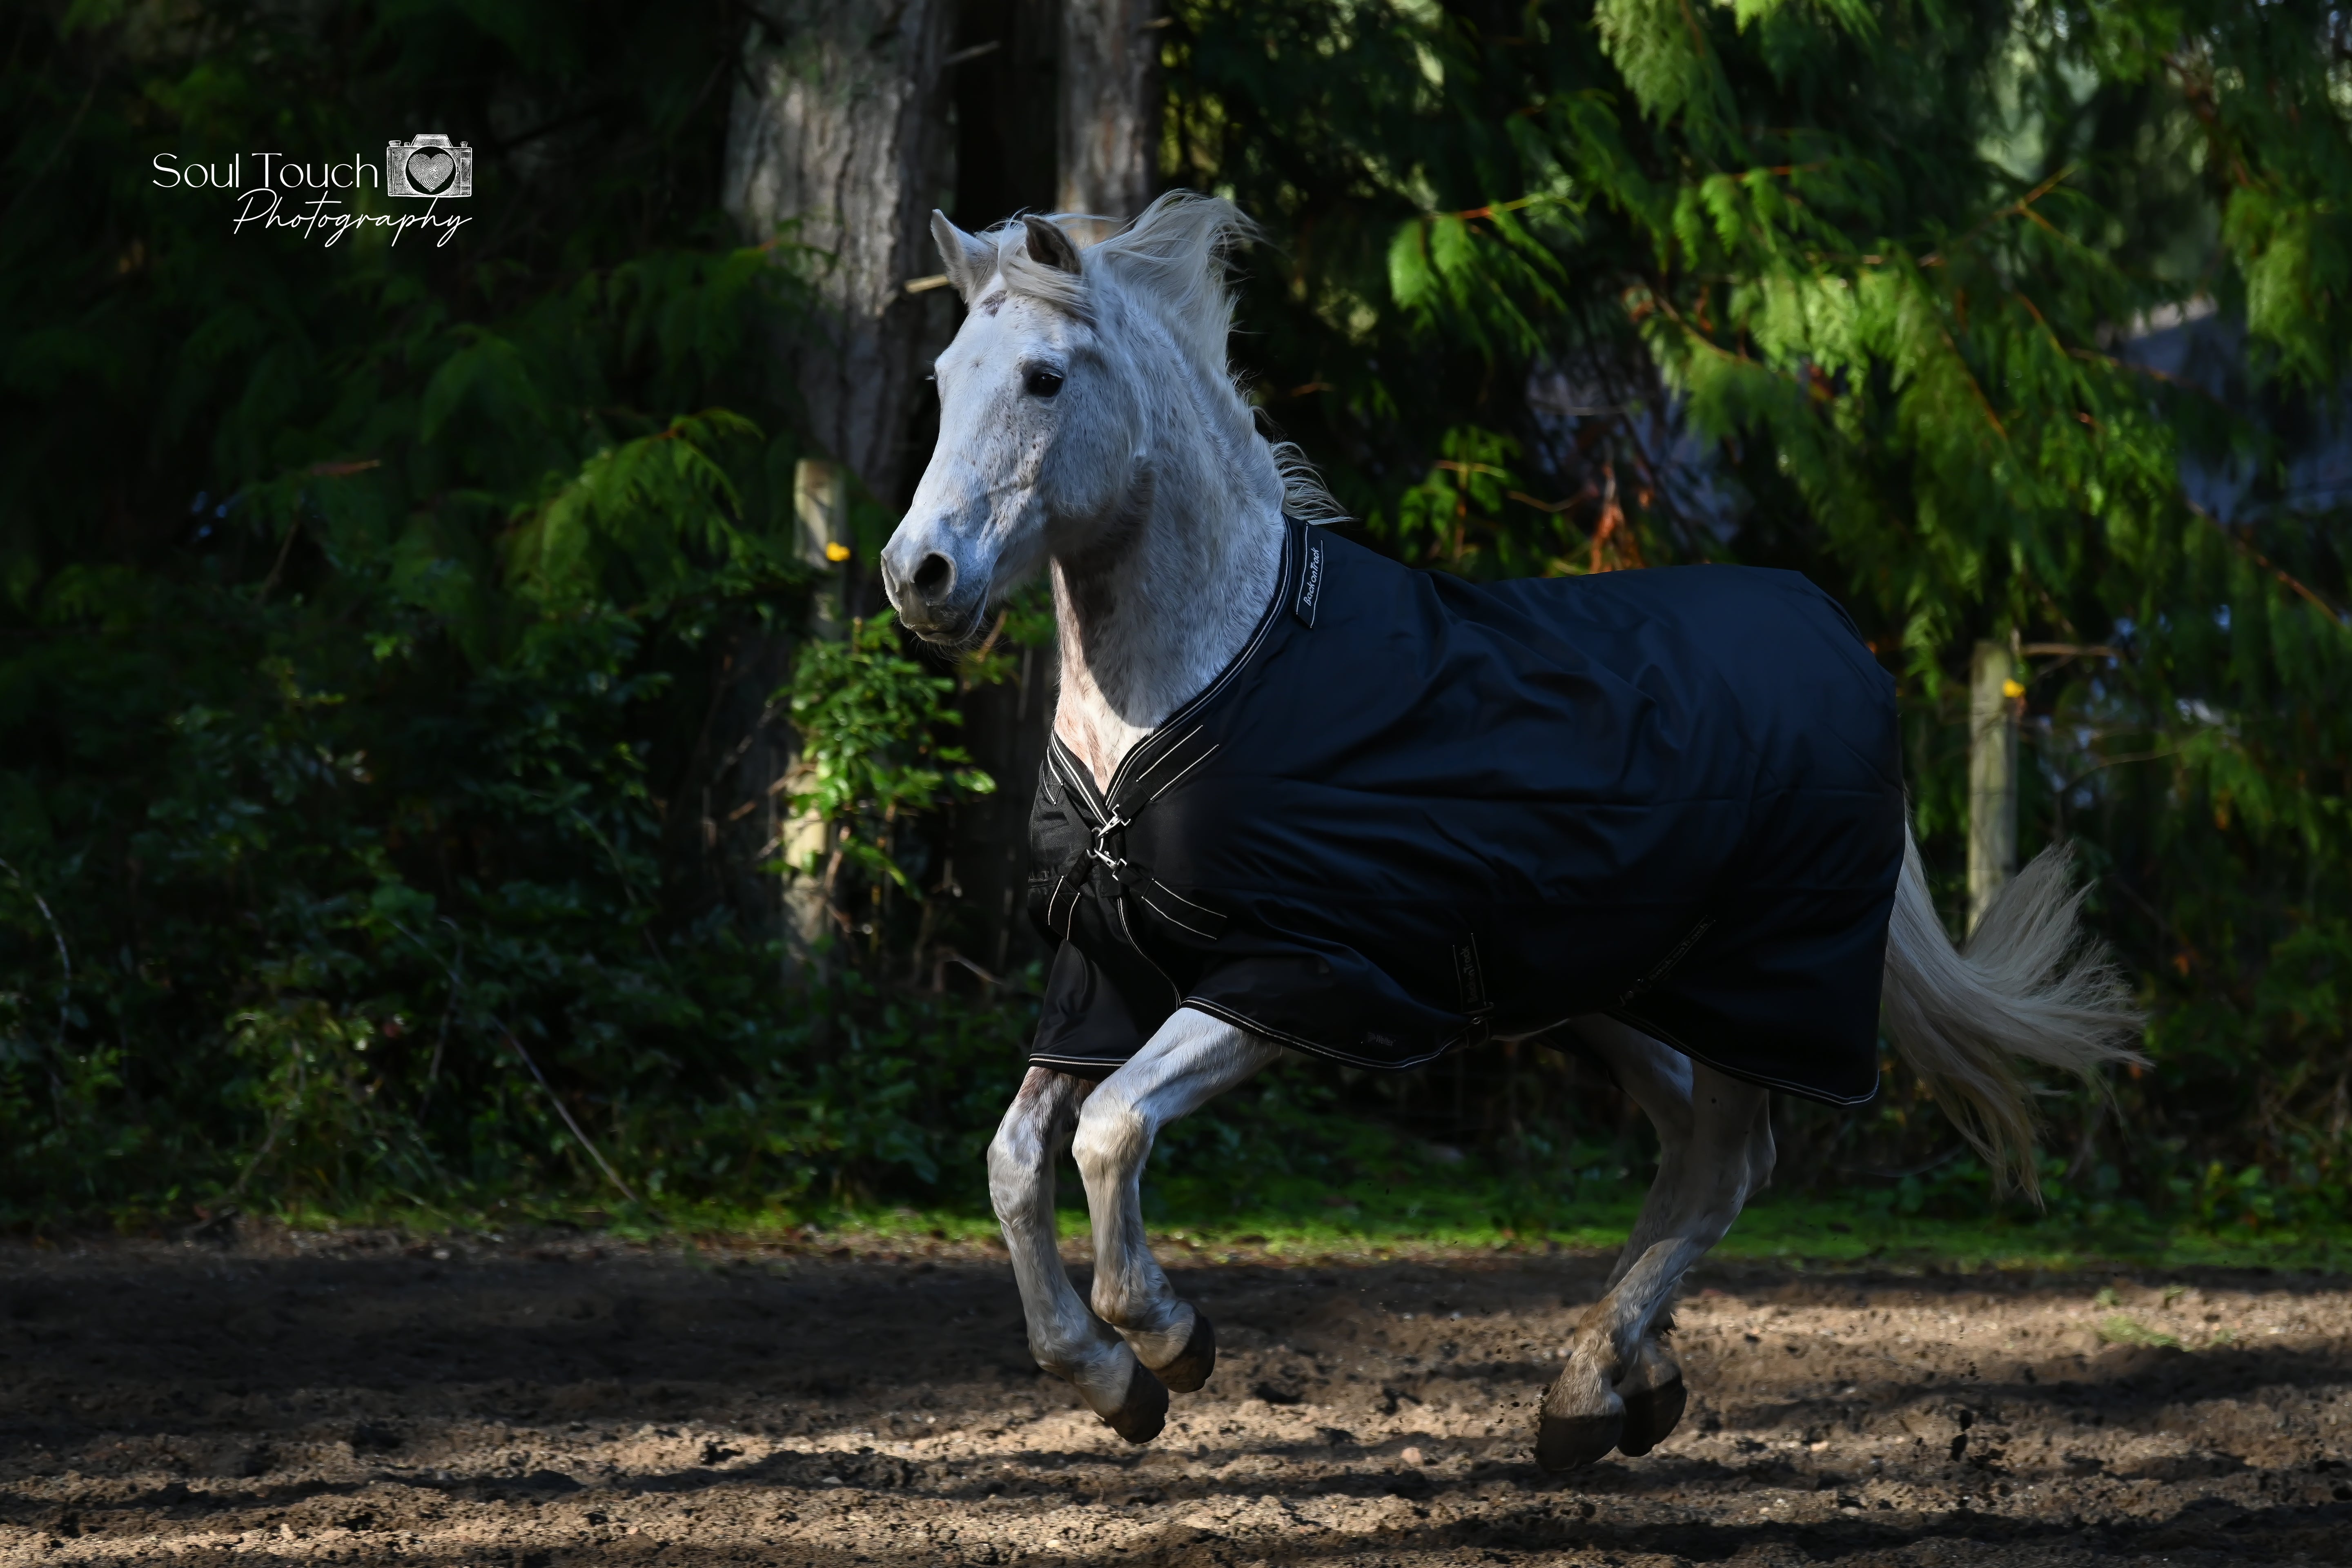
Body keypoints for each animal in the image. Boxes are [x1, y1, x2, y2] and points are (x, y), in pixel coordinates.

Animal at [877, 192, 2143, 1471]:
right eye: (941, 375)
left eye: (1043, 377)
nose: (918, 575)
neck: (1202, 683)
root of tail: (1841, 637)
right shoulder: (1104, 975)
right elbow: (1013, 1159)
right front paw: (1101, 1376)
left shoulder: (1306, 976)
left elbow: (1110, 1127)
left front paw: (1167, 1340)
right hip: (1616, 991)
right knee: (1692, 1149)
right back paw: (1636, 1378)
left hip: (1759, 994)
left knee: (1725, 1164)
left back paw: (1584, 1390)